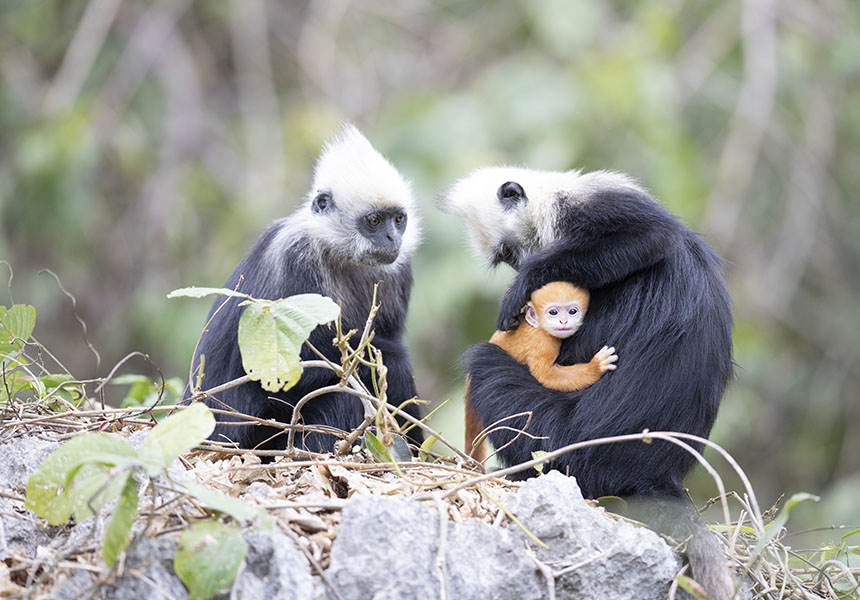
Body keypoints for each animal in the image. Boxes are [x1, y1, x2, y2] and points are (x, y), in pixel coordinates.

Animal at [464, 284, 620, 462]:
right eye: (553, 312)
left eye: (573, 311)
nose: (563, 321)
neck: (537, 326)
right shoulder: (542, 342)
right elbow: (547, 374)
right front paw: (597, 365)